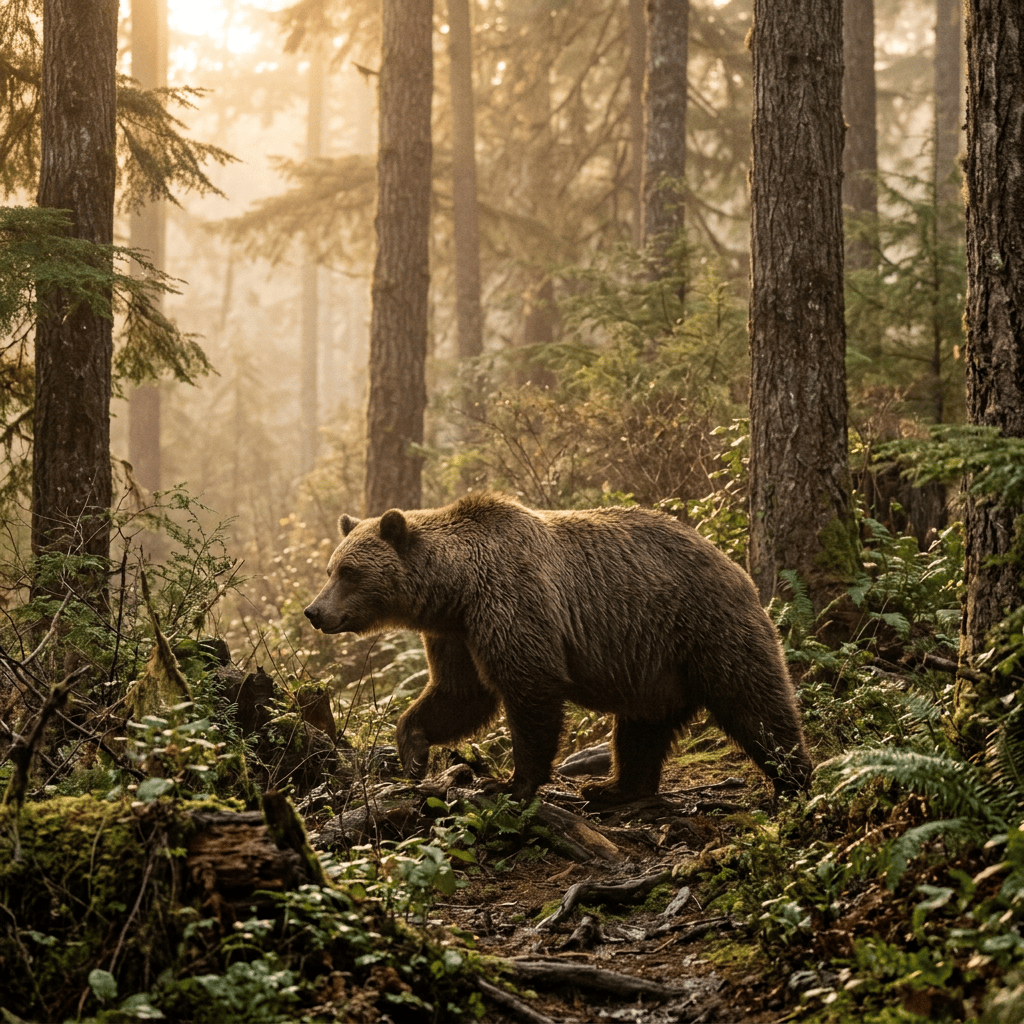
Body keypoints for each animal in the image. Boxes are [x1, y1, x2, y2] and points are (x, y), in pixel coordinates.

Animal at [304, 493, 812, 806]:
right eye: (331, 568)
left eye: (349, 571)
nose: (314, 611)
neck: (455, 589)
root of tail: (734, 564)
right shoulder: (457, 633)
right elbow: (459, 694)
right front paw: (412, 751)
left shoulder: (510, 600)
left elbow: (529, 687)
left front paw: (510, 782)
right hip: (653, 664)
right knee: (641, 727)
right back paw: (615, 788)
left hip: (705, 629)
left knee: (756, 704)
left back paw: (794, 780)